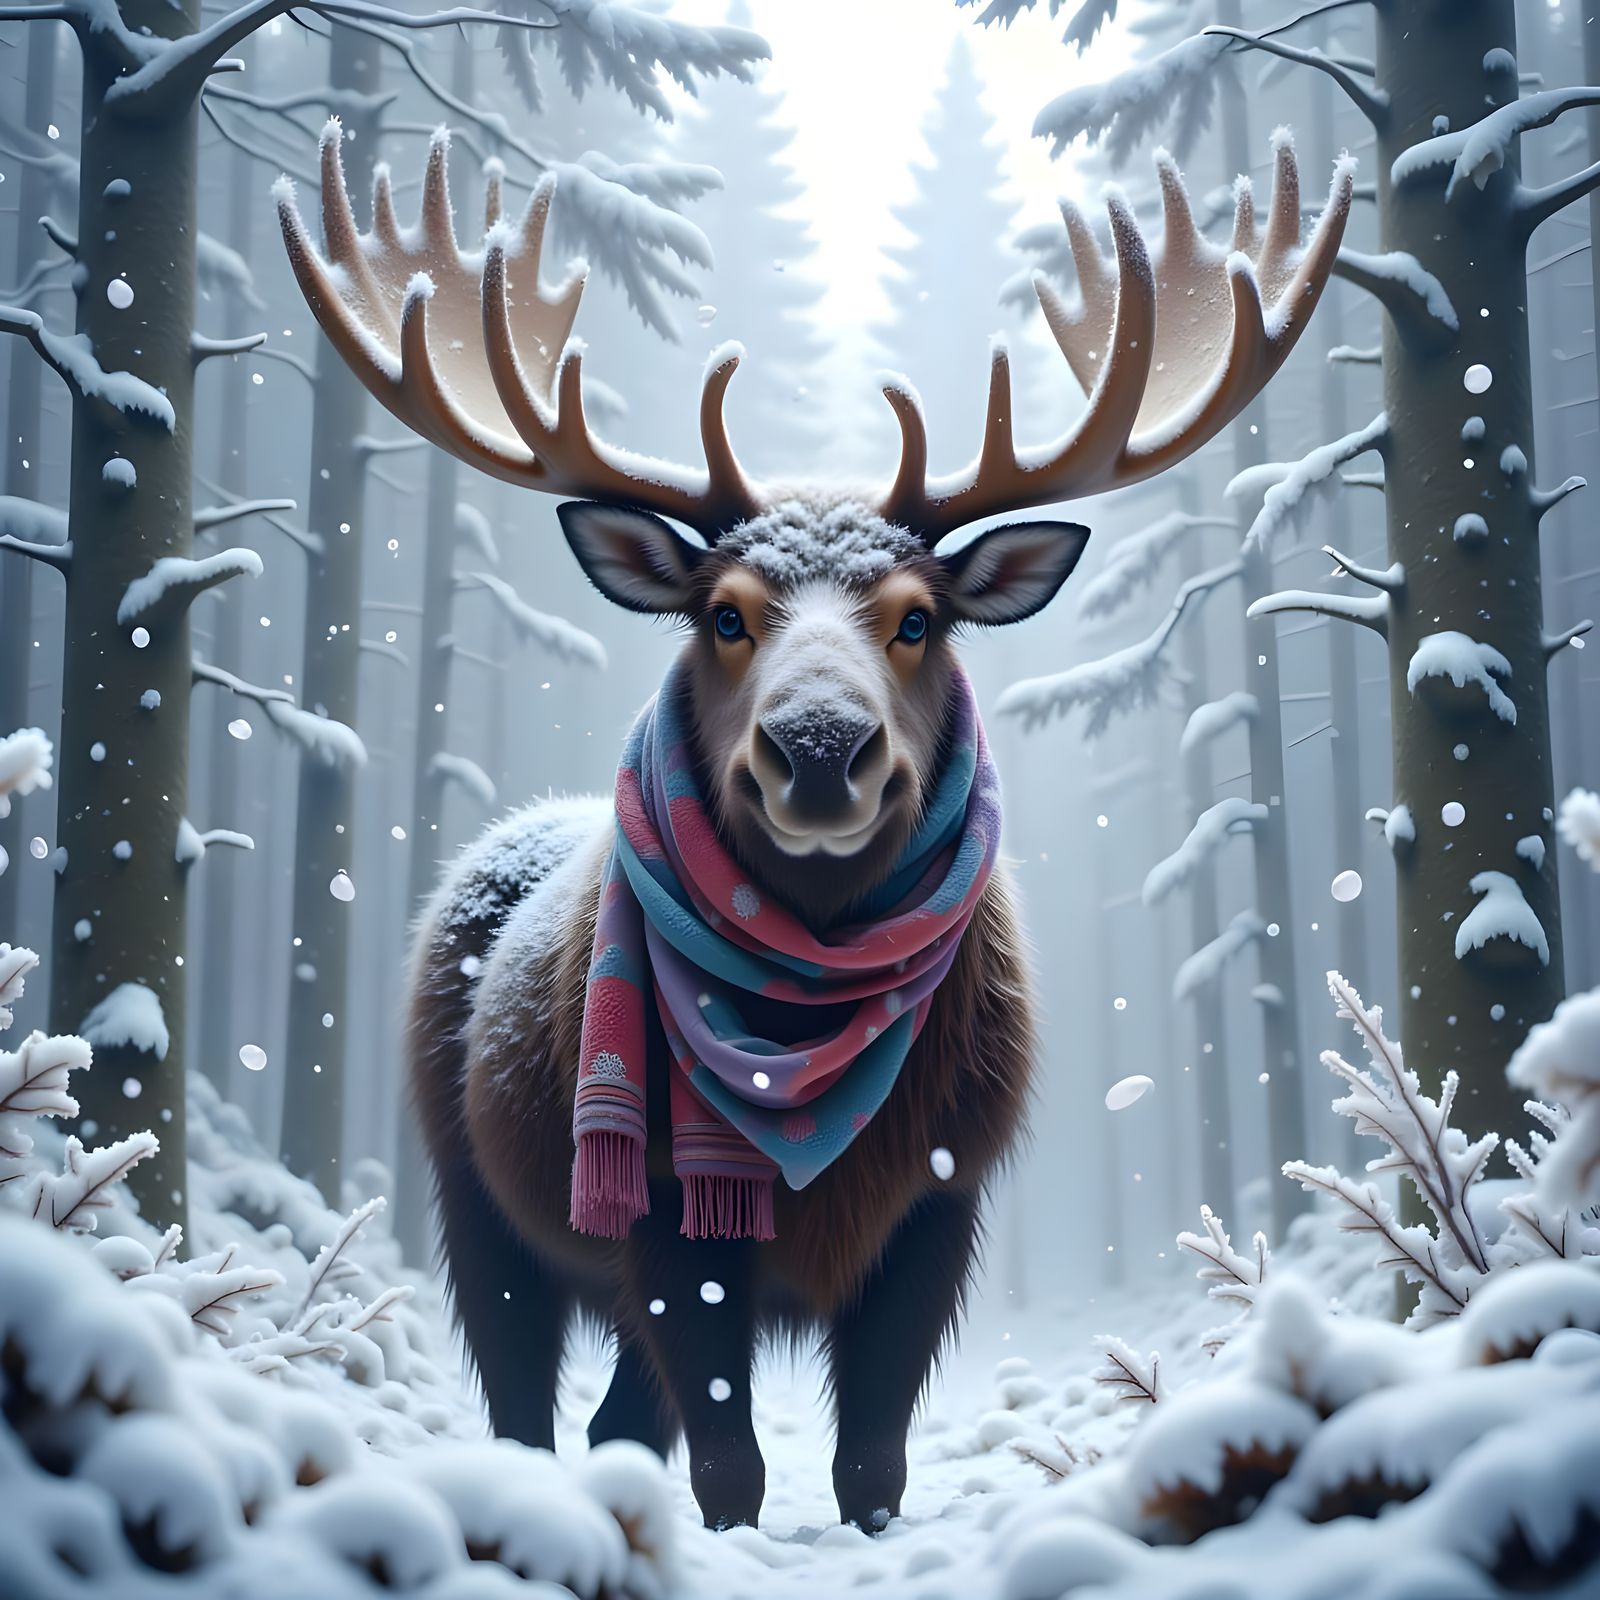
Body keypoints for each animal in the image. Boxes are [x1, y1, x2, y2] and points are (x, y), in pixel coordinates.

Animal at [277, 122, 1352, 1533]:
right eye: (723, 612)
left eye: (919, 618)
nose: (823, 745)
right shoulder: (663, 1210)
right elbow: (729, 1460)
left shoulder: (942, 1198)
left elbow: (871, 1457)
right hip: (476, 1200)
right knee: (522, 1402)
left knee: (621, 1420)